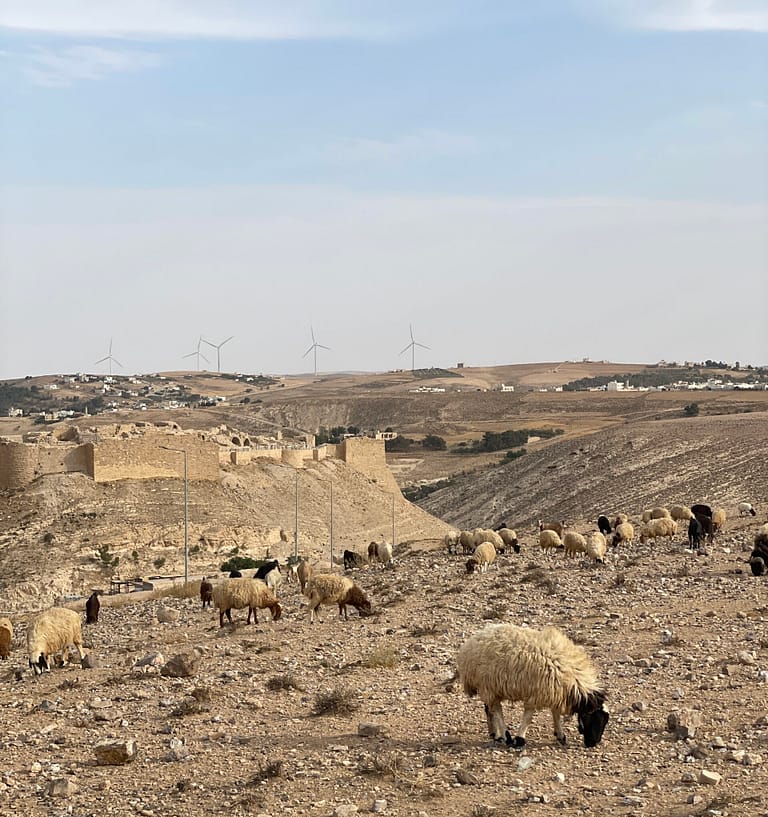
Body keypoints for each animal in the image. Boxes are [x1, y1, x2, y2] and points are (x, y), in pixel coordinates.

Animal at [456, 620, 612, 748]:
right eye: (593, 718)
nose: (593, 743)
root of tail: (472, 641)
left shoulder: (554, 691)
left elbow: (555, 713)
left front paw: (560, 735)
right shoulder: (536, 693)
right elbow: (529, 717)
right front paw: (520, 739)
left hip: (490, 687)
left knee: (489, 709)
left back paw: (495, 734)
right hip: (488, 685)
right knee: (497, 709)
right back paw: (506, 736)